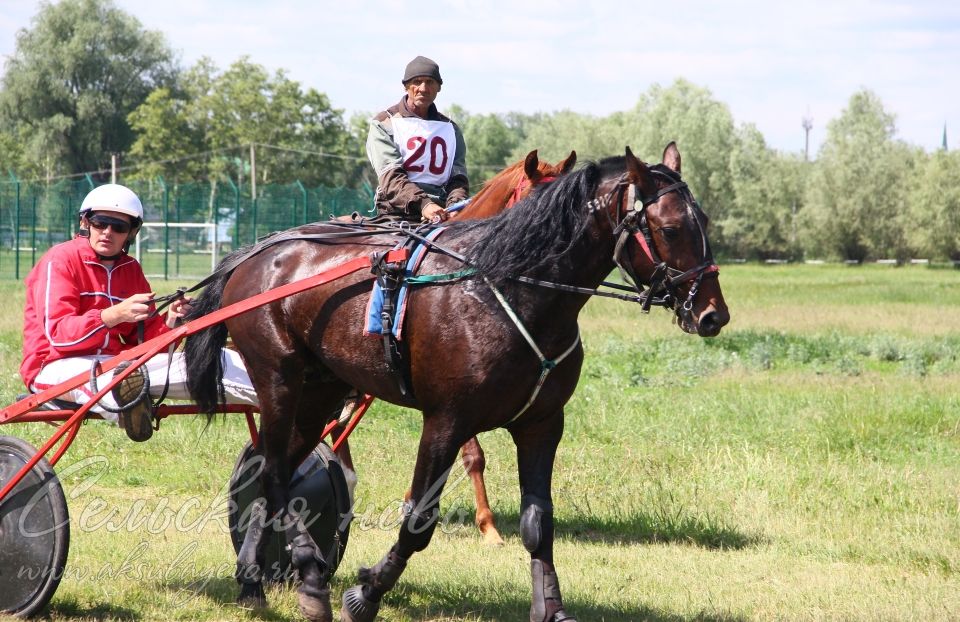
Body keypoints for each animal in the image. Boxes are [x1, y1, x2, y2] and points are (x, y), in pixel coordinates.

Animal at [184, 144, 728, 620]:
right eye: (671, 228)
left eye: (704, 223)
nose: (712, 314)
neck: (507, 289)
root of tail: (253, 254)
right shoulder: (445, 422)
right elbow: (418, 521)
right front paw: (366, 593)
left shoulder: (542, 424)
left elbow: (539, 523)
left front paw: (550, 608)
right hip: (279, 379)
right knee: (276, 472)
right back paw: (307, 574)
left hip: (320, 391)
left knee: (268, 470)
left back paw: (253, 580)